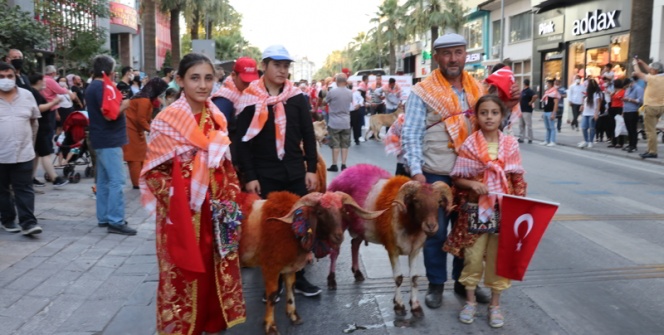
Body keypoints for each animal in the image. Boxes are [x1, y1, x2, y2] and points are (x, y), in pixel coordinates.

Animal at [239, 190, 384, 334]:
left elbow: (291, 288)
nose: (338, 237)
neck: (293, 228)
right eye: (319, 212)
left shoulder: (290, 267)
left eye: (342, 209)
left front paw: (294, 316)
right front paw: (270, 326)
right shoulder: (271, 267)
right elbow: (272, 295)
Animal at [326, 165, 452, 318]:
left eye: (439, 202)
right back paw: (331, 280)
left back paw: (357, 273)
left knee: (354, 244)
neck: (408, 225)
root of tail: (346, 172)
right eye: (416, 200)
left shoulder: (415, 250)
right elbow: (398, 278)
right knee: (335, 251)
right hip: (340, 224)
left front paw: (415, 307)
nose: (431, 226)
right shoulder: (392, 249)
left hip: (362, 227)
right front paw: (399, 306)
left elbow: (414, 278)